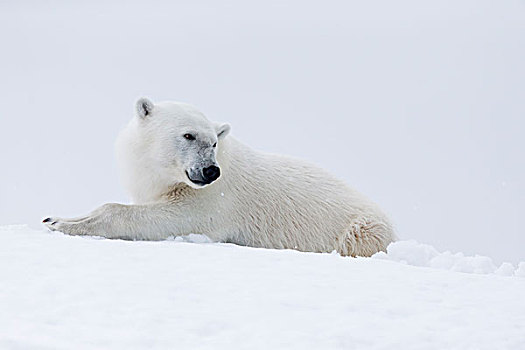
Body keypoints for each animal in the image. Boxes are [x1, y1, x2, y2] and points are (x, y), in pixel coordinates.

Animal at [44, 98, 392, 258]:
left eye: (213, 142)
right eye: (188, 135)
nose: (211, 170)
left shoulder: (215, 200)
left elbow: (172, 217)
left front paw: (65, 225)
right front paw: (54, 218)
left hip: (362, 229)